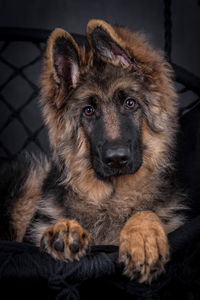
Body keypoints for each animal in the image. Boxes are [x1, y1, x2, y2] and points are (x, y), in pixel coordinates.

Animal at [0, 19, 188, 282]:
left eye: (130, 103)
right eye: (88, 111)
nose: (116, 159)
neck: (112, 198)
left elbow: (145, 211)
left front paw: (143, 236)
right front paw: (65, 229)